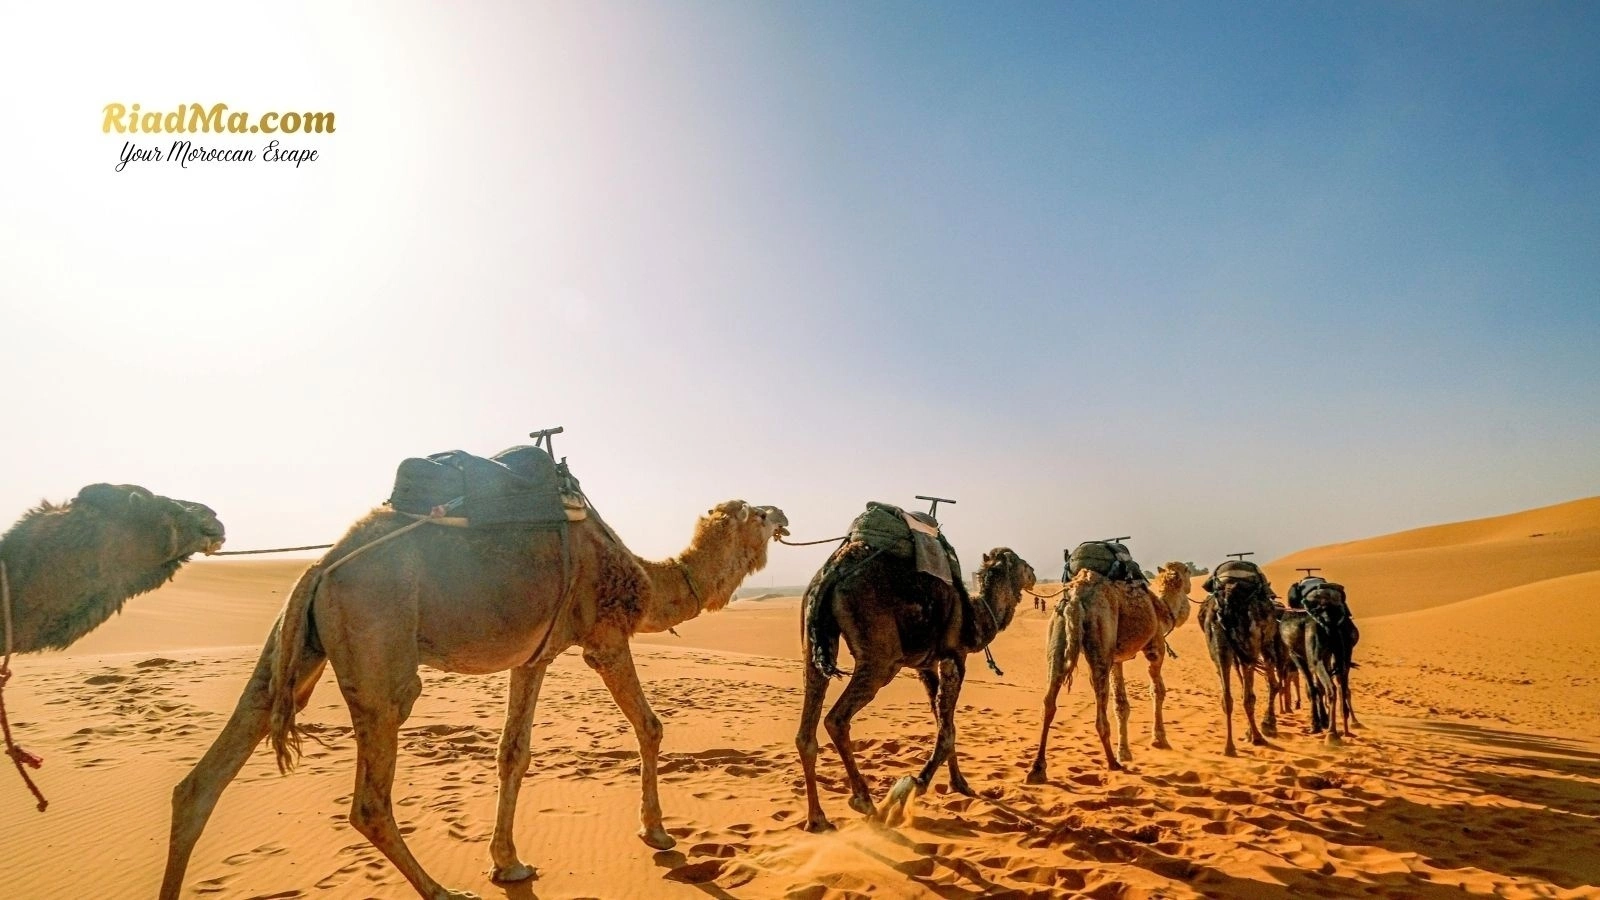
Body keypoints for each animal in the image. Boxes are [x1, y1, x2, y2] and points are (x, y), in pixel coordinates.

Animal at [162, 499, 789, 900]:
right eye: (757, 513)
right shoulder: (604, 637)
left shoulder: (534, 654)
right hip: (379, 646)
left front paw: (508, 863)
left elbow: (513, 753)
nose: (784, 516)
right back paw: (444, 891)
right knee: (369, 800)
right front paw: (657, 833)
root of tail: (321, 565)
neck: (644, 577)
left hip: (297, 649)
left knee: (204, 779)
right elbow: (651, 725)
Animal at [797, 545, 1035, 832]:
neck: (975, 616)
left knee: (806, 731)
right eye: (1020, 563)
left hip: (813, 641)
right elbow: (947, 731)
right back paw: (865, 801)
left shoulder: (927, 665)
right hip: (881, 658)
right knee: (836, 719)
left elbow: (944, 722)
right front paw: (913, 785)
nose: (1033, 572)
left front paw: (959, 784)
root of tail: (830, 575)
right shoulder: (955, 657)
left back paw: (817, 818)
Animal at [1027, 562, 1193, 780]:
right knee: (1099, 707)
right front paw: (1159, 740)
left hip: (1058, 629)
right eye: (1187, 571)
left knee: (1049, 700)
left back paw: (1037, 768)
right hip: (1100, 634)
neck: (1162, 608)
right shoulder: (1155, 646)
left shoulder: (1116, 660)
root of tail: (1076, 597)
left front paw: (1125, 752)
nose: (1191, 586)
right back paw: (1113, 763)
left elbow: (1121, 704)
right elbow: (1157, 691)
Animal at [1198, 565, 1284, 756]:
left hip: (1220, 647)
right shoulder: (1264, 646)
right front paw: (1268, 724)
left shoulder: (1237, 654)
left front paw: (1251, 731)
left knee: (1227, 697)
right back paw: (1258, 737)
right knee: (1249, 696)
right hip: (1251, 645)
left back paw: (1229, 747)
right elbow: (1272, 685)